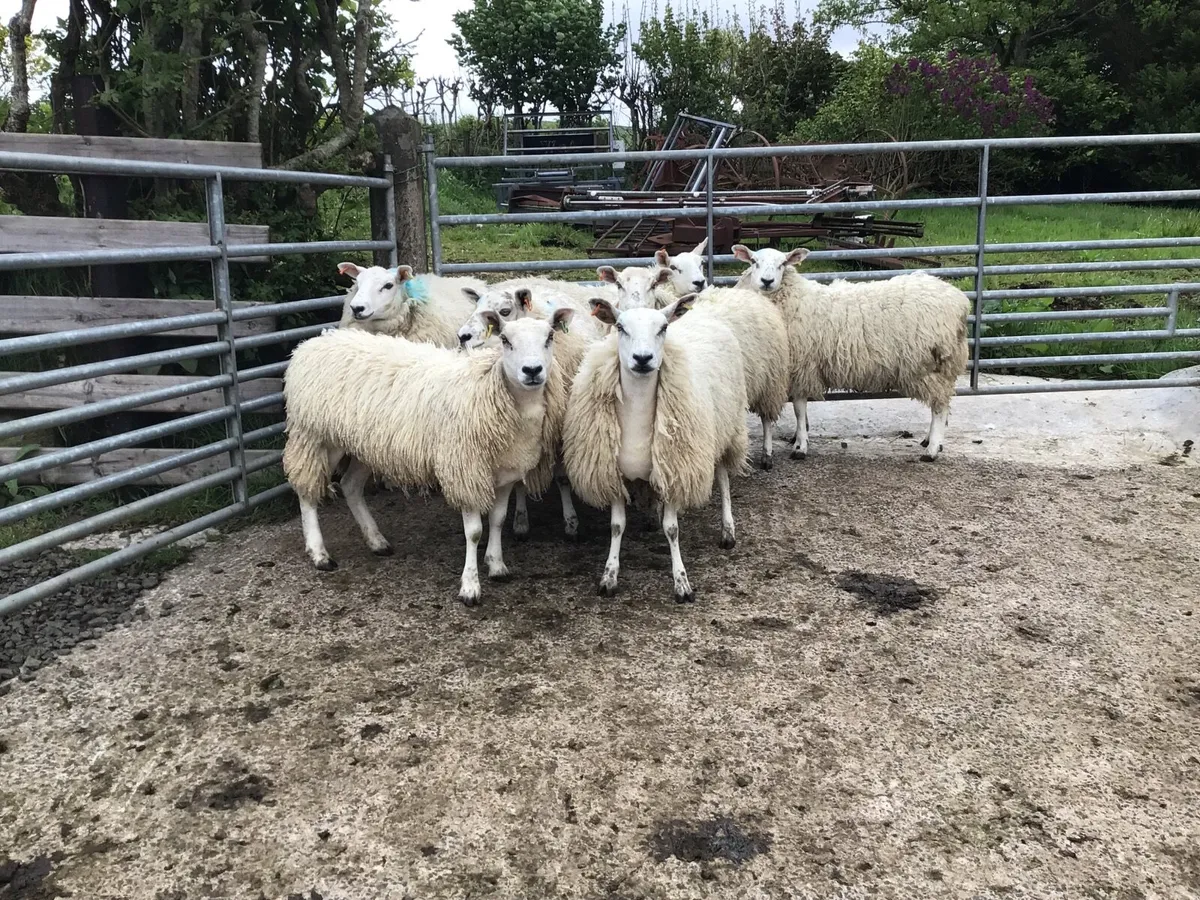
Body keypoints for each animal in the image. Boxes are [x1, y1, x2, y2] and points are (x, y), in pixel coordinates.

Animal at [282, 309, 572, 605]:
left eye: (550, 337)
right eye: (505, 340)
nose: (532, 371)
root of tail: (311, 343)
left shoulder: (506, 473)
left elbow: (498, 520)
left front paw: (497, 565)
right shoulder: (464, 471)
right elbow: (474, 532)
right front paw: (470, 586)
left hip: (364, 444)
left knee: (350, 485)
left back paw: (376, 541)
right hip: (316, 436)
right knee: (307, 491)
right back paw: (319, 554)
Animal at [457, 282, 605, 539]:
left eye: (505, 311)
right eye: (476, 306)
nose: (462, 336)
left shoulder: (559, 430)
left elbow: (562, 478)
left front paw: (571, 521)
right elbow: (518, 480)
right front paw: (520, 519)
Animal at [563, 295, 749, 602]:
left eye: (663, 328)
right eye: (620, 326)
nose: (642, 359)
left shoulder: (674, 467)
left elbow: (672, 530)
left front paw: (681, 582)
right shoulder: (613, 473)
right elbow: (617, 526)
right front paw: (609, 576)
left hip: (726, 430)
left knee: (723, 480)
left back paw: (728, 532)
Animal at [732, 244, 970, 461]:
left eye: (782, 263)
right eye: (754, 261)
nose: (767, 281)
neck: (793, 300)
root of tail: (959, 301)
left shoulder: (802, 367)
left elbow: (799, 409)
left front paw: (800, 446)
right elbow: (801, 411)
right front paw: (799, 438)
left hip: (930, 365)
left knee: (939, 407)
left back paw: (932, 450)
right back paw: (930, 441)